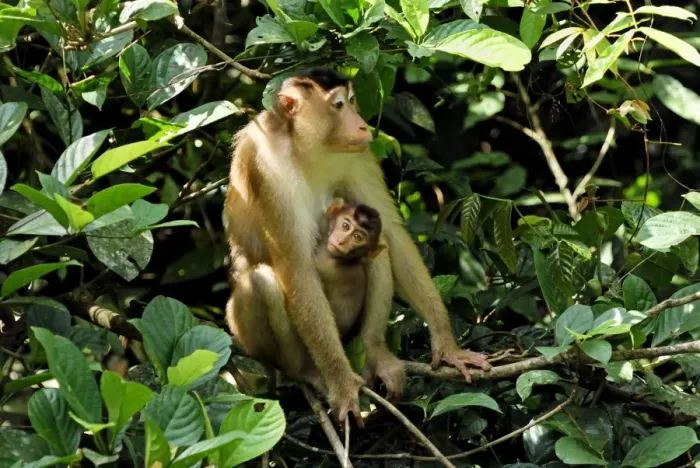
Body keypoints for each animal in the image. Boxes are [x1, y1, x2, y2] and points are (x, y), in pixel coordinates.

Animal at [224, 67, 491, 425]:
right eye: (339, 105)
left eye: (352, 101)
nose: (363, 125)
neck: (306, 147)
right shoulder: (264, 165)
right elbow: (295, 266)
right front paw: (340, 383)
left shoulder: (358, 155)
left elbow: (391, 232)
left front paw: (448, 347)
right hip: (247, 337)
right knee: (263, 280)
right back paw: (307, 372)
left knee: (381, 250)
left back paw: (374, 350)